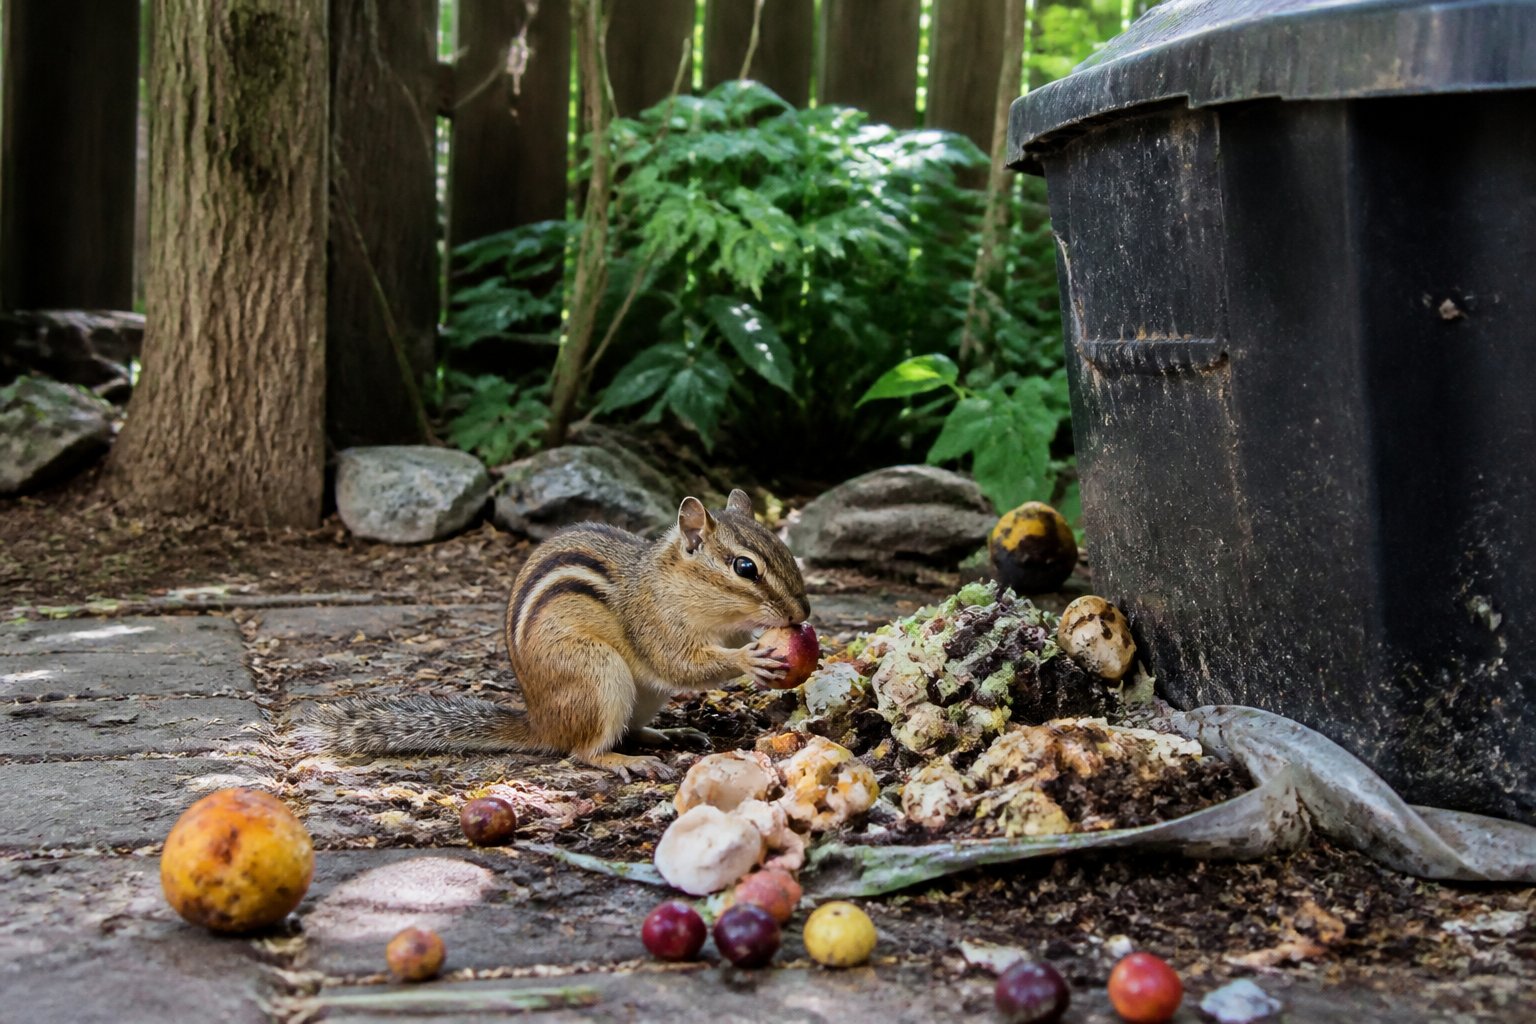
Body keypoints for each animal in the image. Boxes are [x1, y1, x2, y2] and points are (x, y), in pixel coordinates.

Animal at [313, 489, 810, 780]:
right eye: (745, 568)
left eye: (786, 551)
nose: (803, 613)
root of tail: (540, 722)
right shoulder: (653, 621)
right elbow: (679, 662)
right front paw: (749, 659)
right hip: (597, 673)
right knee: (581, 751)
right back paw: (625, 760)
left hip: (639, 694)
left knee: (626, 728)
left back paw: (668, 734)